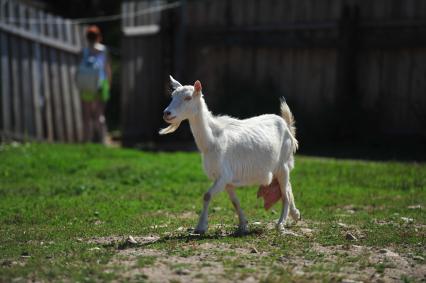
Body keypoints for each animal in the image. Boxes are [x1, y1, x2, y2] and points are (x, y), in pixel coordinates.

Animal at [160, 76, 300, 234]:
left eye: (188, 97)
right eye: (172, 96)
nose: (167, 113)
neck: (212, 140)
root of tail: (286, 125)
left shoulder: (224, 175)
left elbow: (207, 196)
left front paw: (200, 227)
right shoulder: (227, 181)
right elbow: (235, 202)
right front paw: (243, 225)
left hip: (283, 165)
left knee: (285, 193)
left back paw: (281, 223)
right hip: (280, 168)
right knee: (287, 188)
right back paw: (295, 215)